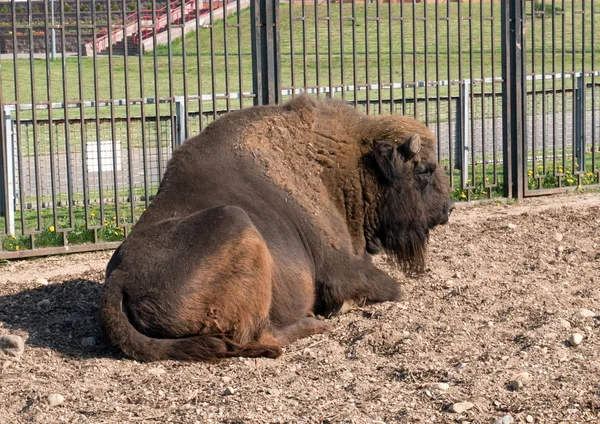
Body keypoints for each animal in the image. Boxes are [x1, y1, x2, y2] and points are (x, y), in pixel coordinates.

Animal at [101, 95, 452, 362]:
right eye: (424, 169)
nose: (447, 209)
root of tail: (120, 277)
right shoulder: (338, 267)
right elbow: (392, 288)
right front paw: (343, 306)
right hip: (236, 222)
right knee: (260, 335)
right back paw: (316, 324)